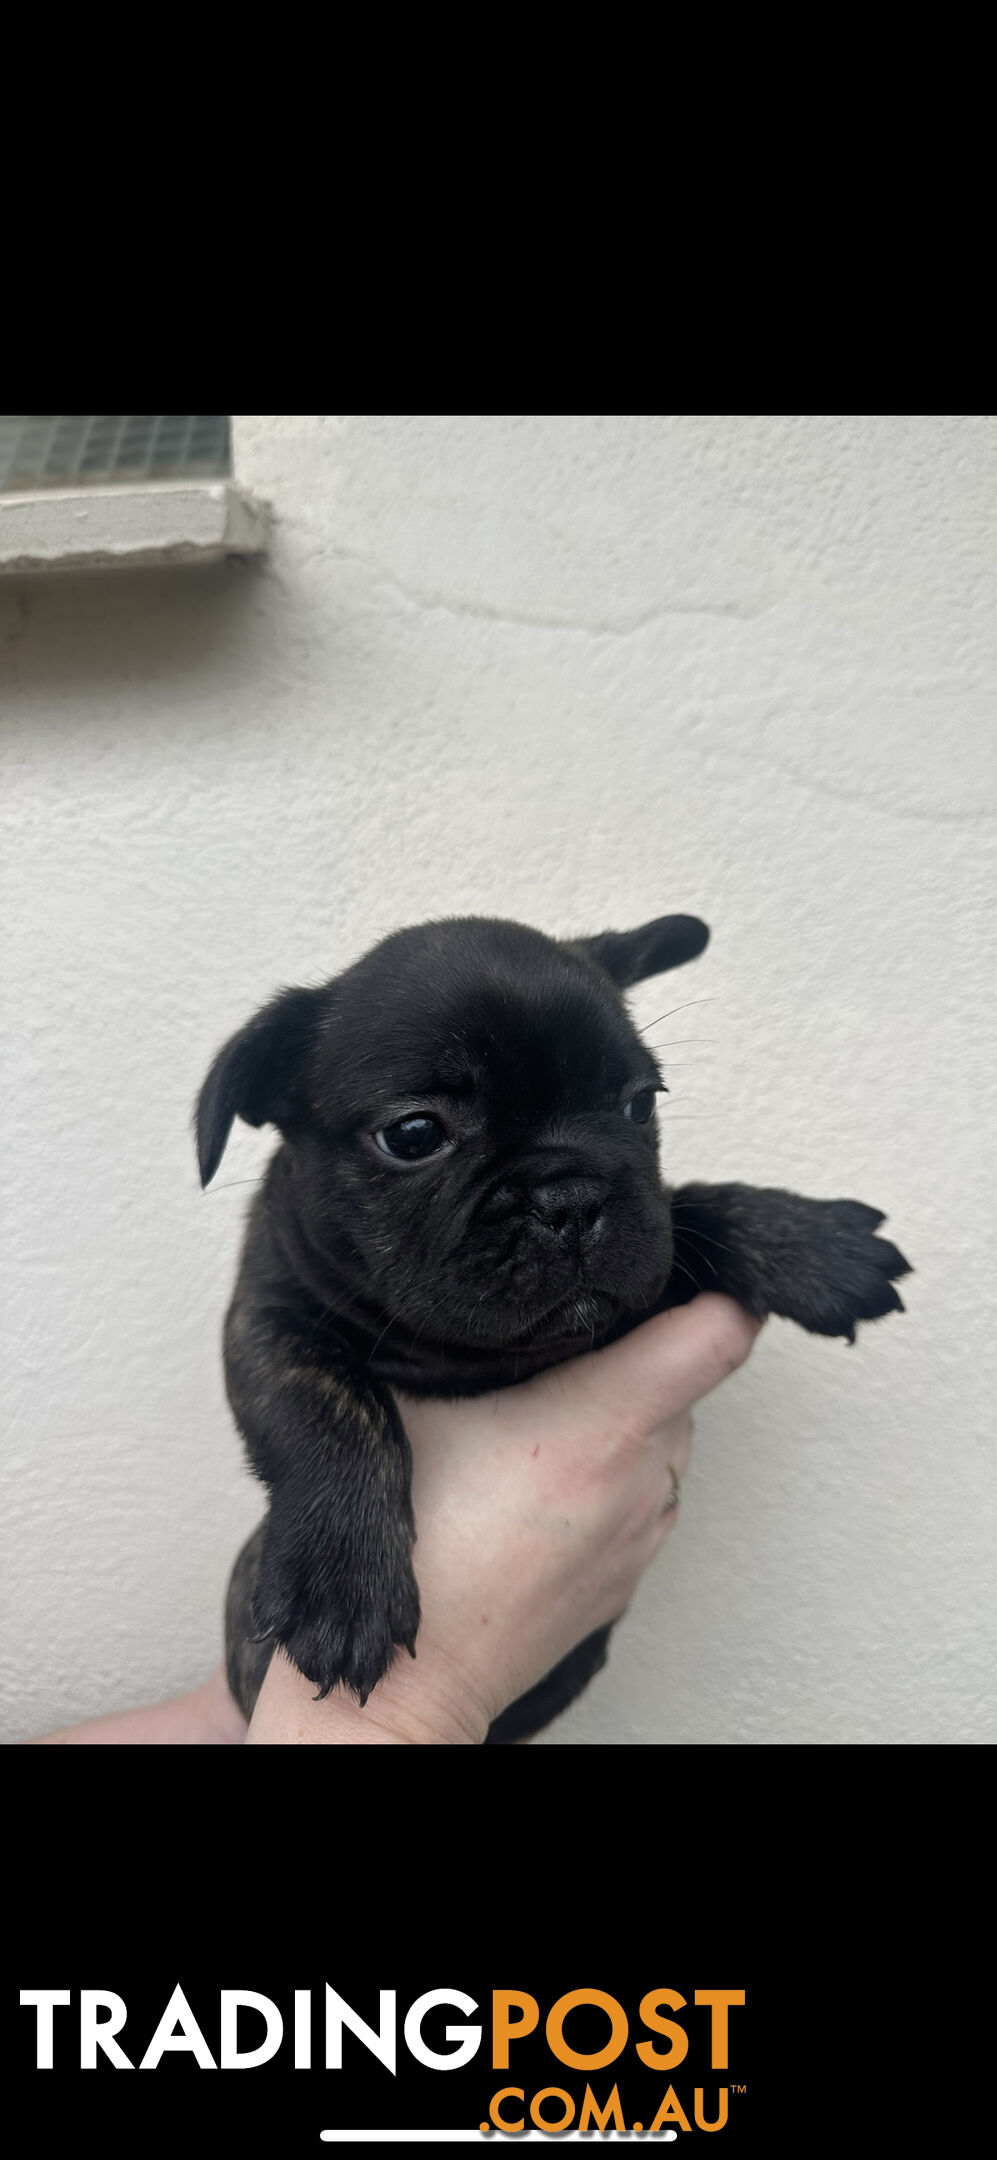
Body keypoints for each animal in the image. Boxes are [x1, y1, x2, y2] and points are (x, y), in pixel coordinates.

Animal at [194, 911, 910, 1736]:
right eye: (412, 1134)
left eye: (640, 1104)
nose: (568, 1197)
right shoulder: (268, 1318)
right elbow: (326, 1409)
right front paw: (342, 1582)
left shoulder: (646, 1281)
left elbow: (692, 1212)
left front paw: (808, 1242)